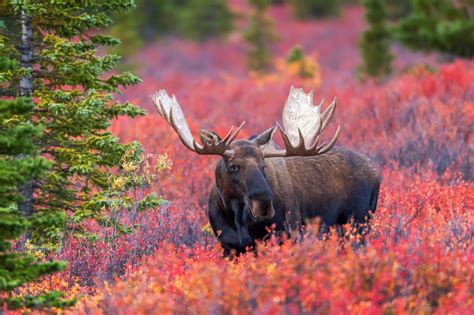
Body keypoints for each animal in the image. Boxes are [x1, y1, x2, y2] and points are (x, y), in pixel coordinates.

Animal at [152, 87, 382, 256]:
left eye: (264, 165)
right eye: (233, 165)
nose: (263, 204)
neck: (237, 217)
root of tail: (376, 171)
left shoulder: (287, 235)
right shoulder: (228, 247)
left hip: (358, 223)